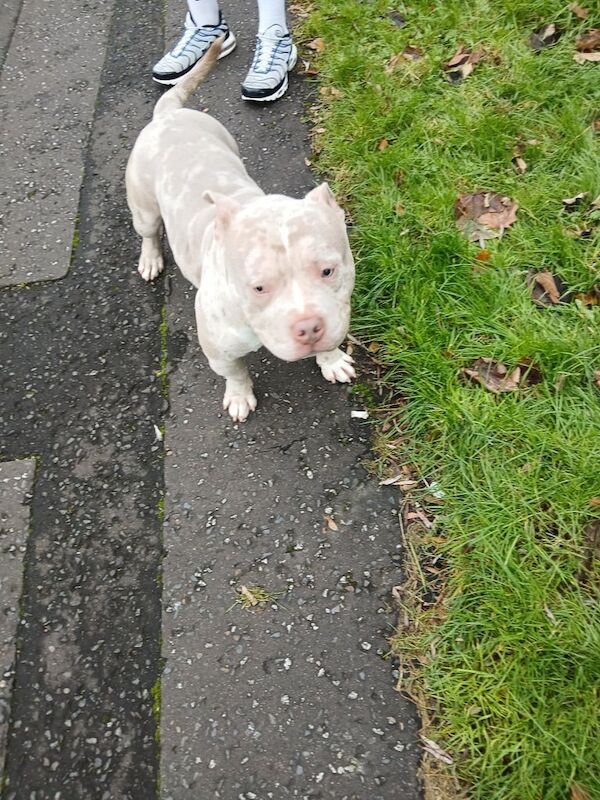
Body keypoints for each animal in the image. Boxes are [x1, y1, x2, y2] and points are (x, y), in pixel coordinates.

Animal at [124, 39, 354, 422]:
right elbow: (235, 372)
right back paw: (151, 258)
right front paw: (239, 396)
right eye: (258, 287)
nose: (309, 327)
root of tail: (168, 114)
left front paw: (331, 360)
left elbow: (333, 337)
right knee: (149, 232)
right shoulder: (219, 350)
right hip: (143, 207)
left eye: (328, 270)